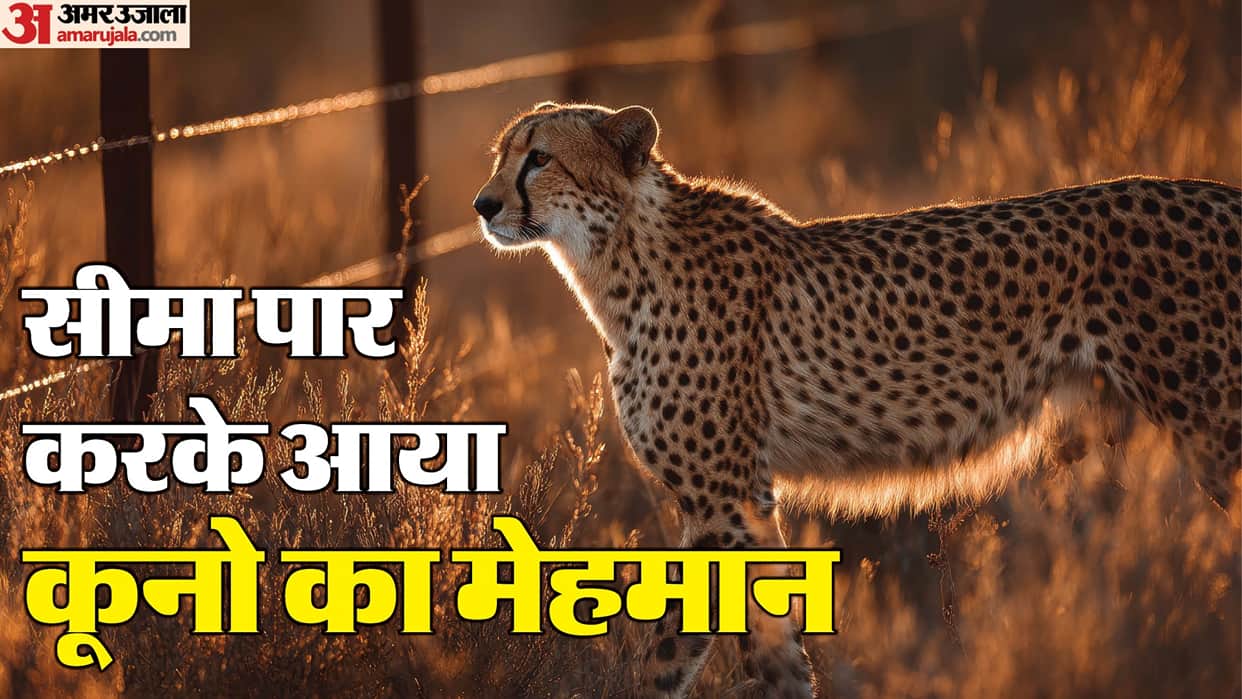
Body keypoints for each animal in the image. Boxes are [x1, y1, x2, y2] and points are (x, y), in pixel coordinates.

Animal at [473, 101, 1242, 698]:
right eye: (502, 155)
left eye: (539, 158)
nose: (483, 205)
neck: (616, 258)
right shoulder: (733, 500)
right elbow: (726, 643)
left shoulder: (727, 499)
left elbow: (724, 643)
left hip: (1218, 431)